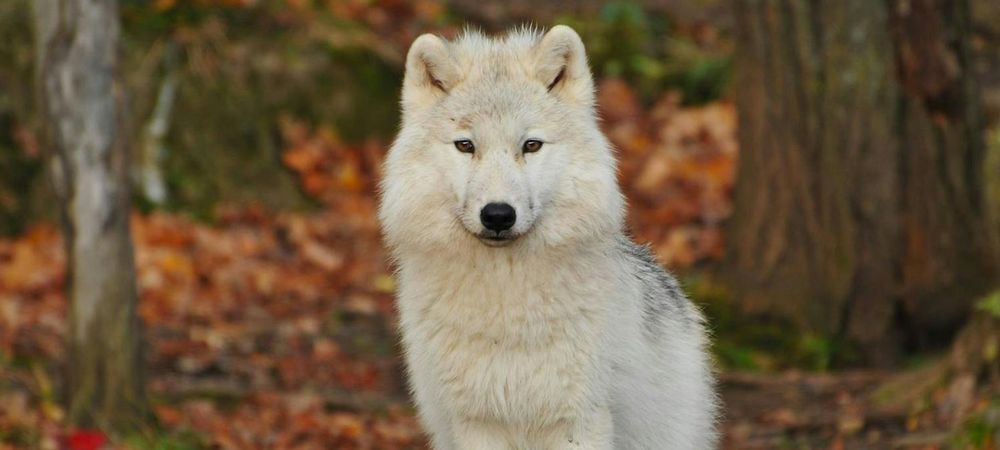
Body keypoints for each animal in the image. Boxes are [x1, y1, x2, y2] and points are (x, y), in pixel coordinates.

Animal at [378, 25, 718, 450]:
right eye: (465, 145)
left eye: (531, 145)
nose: (498, 214)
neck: (506, 308)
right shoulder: (478, 421)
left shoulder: (578, 421)